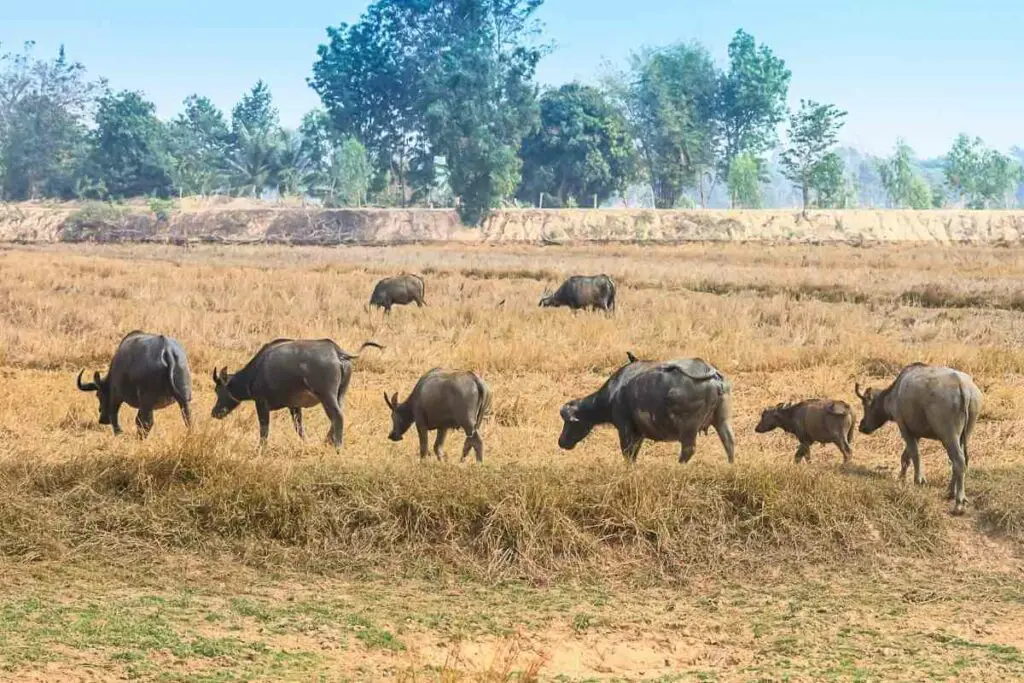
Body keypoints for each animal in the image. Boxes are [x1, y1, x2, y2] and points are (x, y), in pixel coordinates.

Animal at [211, 337, 385, 448]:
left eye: (218, 390)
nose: (214, 412)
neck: (256, 371)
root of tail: (337, 351)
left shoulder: (261, 403)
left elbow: (264, 429)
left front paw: (260, 450)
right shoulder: (294, 406)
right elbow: (299, 428)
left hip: (327, 396)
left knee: (338, 416)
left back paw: (337, 446)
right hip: (339, 394)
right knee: (338, 416)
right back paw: (327, 442)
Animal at [561, 358, 737, 464]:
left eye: (569, 423)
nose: (561, 442)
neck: (614, 392)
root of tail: (712, 374)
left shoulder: (625, 429)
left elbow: (628, 454)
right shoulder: (639, 434)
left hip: (689, 428)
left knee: (688, 450)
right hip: (722, 420)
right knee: (729, 443)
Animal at [856, 362, 983, 511]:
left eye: (865, 405)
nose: (861, 426)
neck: (893, 394)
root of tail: (963, 387)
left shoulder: (904, 428)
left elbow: (914, 455)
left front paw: (917, 480)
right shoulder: (916, 434)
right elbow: (906, 456)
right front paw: (901, 478)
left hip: (949, 436)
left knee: (958, 461)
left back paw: (959, 502)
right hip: (963, 436)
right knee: (956, 462)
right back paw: (950, 492)